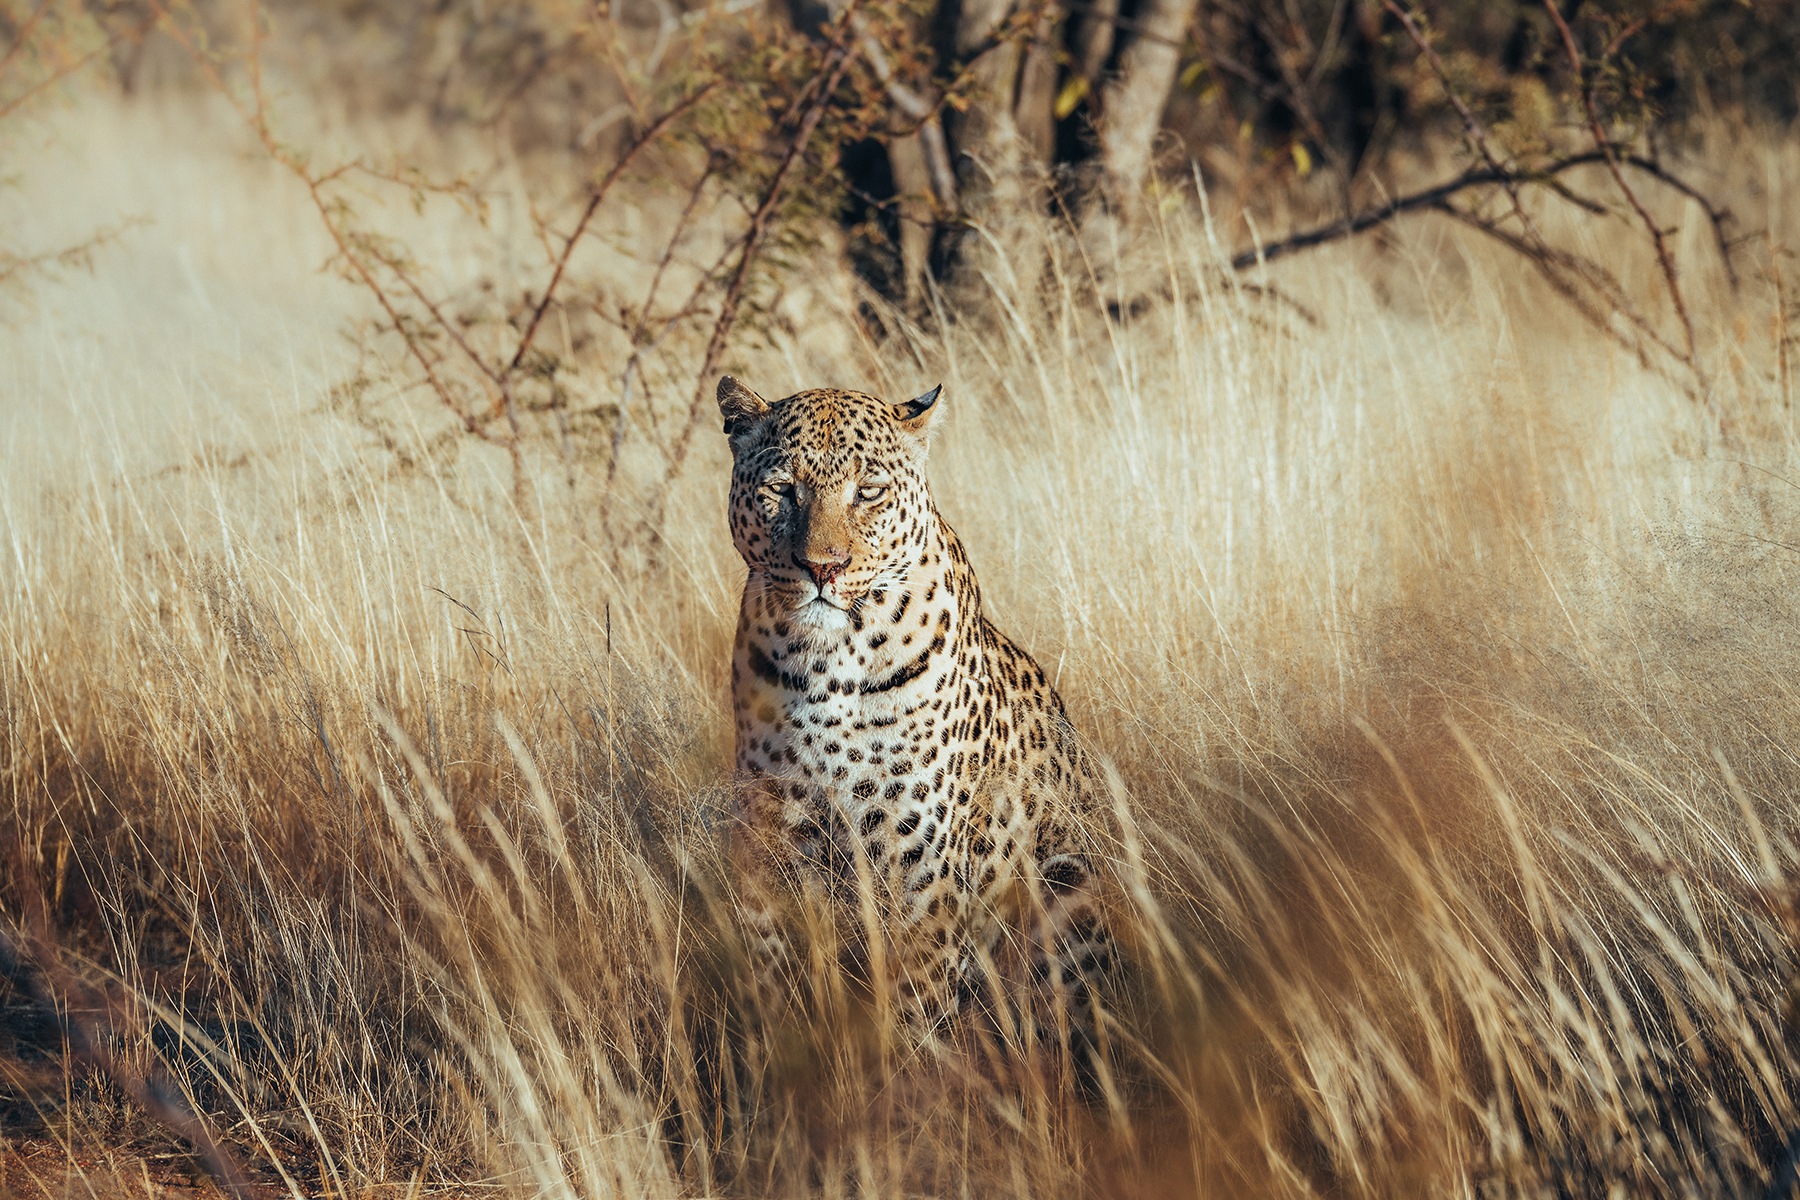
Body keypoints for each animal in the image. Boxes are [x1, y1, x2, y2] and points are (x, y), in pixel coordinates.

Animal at [716, 376, 1108, 1057]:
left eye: (868, 491)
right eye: (782, 490)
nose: (823, 567)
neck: (828, 661)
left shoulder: (918, 865)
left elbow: (911, 1008)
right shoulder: (769, 839)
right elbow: (773, 982)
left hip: (1066, 883)